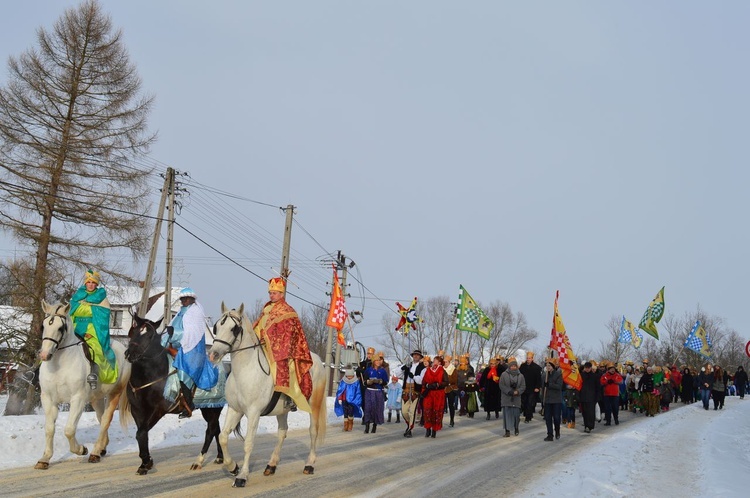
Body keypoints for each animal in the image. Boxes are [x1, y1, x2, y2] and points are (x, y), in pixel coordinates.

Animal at [36, 302, 131, 468]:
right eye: (43, 326)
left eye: (60, 328)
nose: (44, 355)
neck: (59, 365)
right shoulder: (48, 399)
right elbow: (49, 429)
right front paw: (44, 459)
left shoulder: (77, 399)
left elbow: (69, 429)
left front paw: (81, 449)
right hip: (96, 398)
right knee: (101, 417)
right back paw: (102, 448)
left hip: (115, 393)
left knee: (105, 420)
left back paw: (95, 453)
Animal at [119, 316, 226, 474]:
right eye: (133, 332)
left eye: (149, 335)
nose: (129, 354)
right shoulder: (137, 410)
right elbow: (142, 434)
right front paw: (146, 462)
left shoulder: (158, 410)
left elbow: (141, 433)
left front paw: (146, 462)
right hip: (209, 407)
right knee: (216, 429)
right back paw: (220, 457)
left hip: (213, 408)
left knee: (211, 430)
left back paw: (198, 461)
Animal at [212, 302, 328, 488]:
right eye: (217, 326)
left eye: (234, 329)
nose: (213, 354)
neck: (245, 370)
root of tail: (317, 360)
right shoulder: (235, 409)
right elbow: (223, 437)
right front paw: (233, 467)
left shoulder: (253, 413)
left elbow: (248, 443)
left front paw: (242, 476)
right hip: (282, 411)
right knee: (282, 432)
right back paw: (271, 465)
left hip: (314, 405)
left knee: (313, 431)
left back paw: (309, 464)